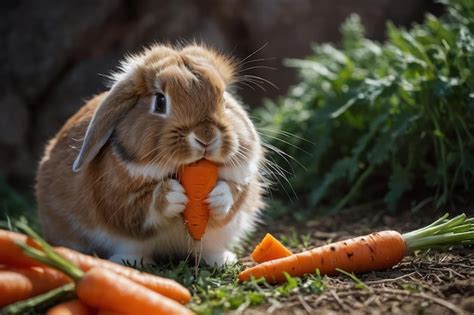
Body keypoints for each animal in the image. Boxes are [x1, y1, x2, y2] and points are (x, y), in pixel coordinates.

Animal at [36, 43, 266, 266]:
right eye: (160, 102)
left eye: (224, 98)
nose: (206, 137)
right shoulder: (119, 202)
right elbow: (142, 209)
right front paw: (171, 194)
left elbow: (233, 194)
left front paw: (219, 196)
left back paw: (222, 260)